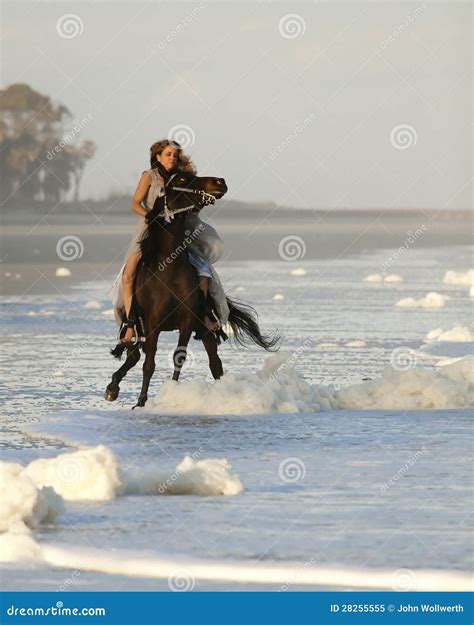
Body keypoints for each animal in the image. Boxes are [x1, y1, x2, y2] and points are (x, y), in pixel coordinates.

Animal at [103, 168, 280, 408]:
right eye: (181, 179)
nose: (220, 182)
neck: (169, 268)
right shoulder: (153, 323)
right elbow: (149, 363)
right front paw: (141, 402)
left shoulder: (187, 321)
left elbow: (179, 357)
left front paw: (171, 393)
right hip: (137, 325)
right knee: (134, 354)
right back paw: (112, 388)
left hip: (204, 327)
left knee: (215, 364)